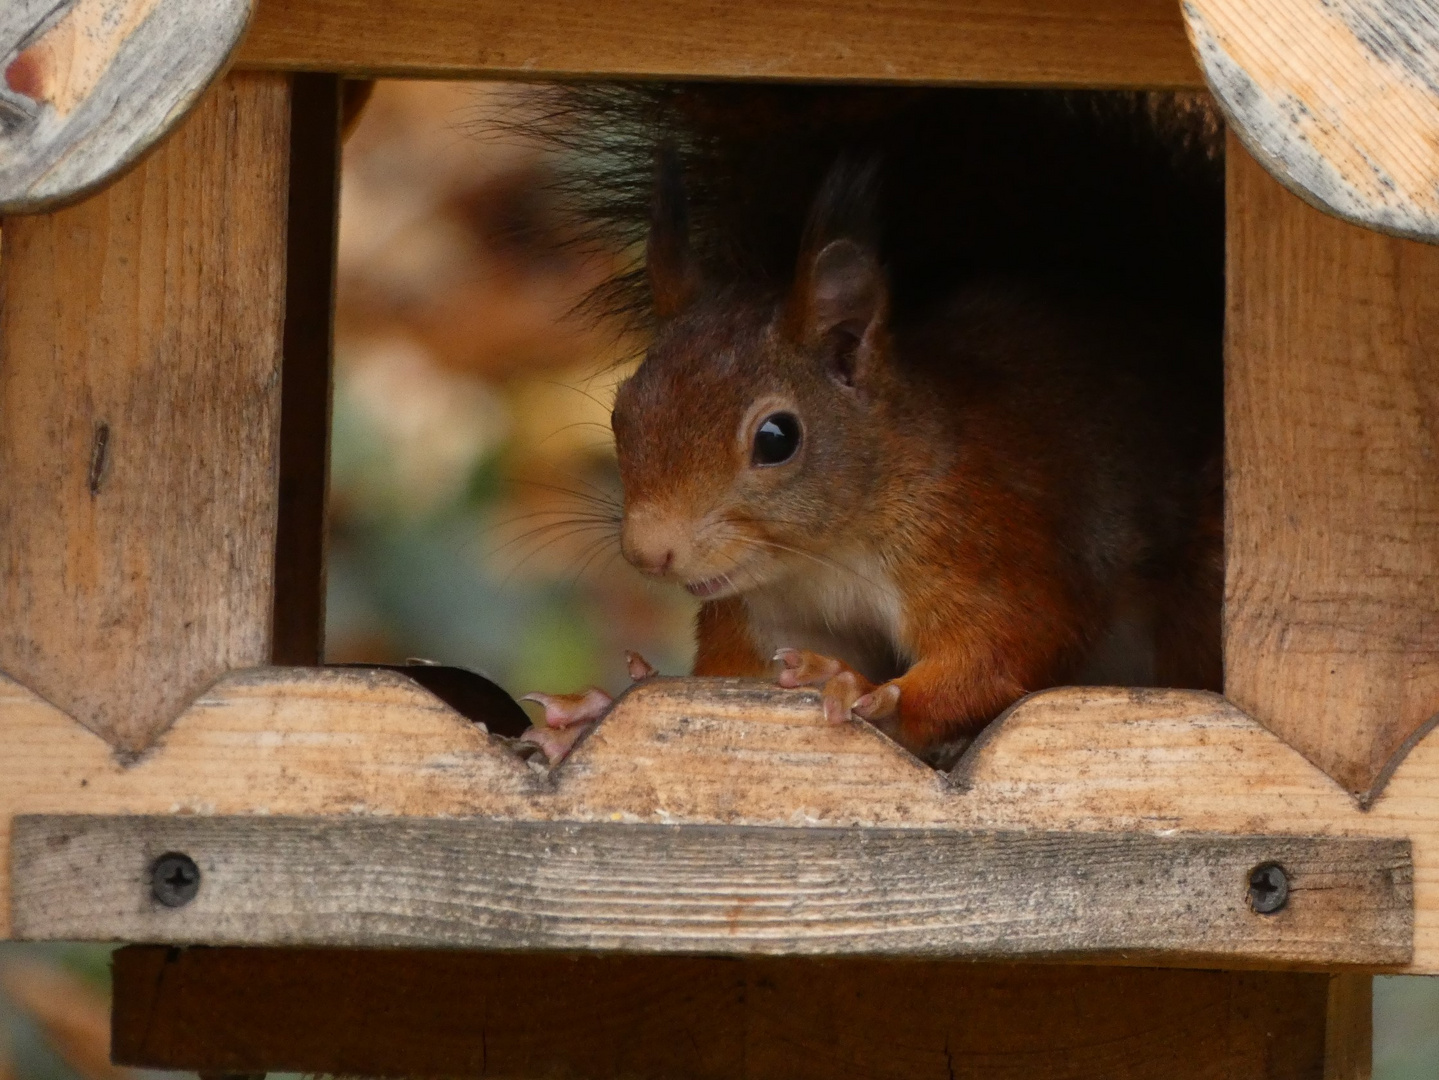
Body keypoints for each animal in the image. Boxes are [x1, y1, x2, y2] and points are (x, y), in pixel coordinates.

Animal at [523, 88, 1220, 765]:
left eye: (776, 439)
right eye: (622, 411)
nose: (649, 552)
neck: (827, 556)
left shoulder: (983, 546)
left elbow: (1002, 650)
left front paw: (860, 688)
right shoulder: (763, 613)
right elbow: (726, 682)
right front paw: (590, 715)